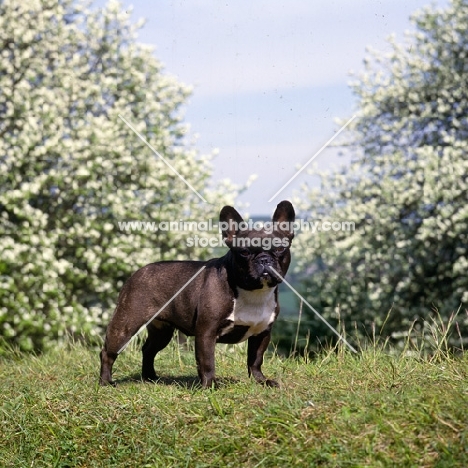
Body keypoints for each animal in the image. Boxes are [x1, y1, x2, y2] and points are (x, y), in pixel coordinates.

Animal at [100, 200, 294, 388]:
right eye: (244, 252)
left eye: (279, 249)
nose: (264, 259)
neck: (253, 291)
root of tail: (138, 272)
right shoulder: (206, 332)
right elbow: (207, 361)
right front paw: (209, 386)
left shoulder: (262, 333)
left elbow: (255, 360)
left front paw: (261, 381)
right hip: (126, 323)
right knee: (108, 352)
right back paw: (106, 382)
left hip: (162, 331)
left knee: (148, 350)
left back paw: (150, 377)